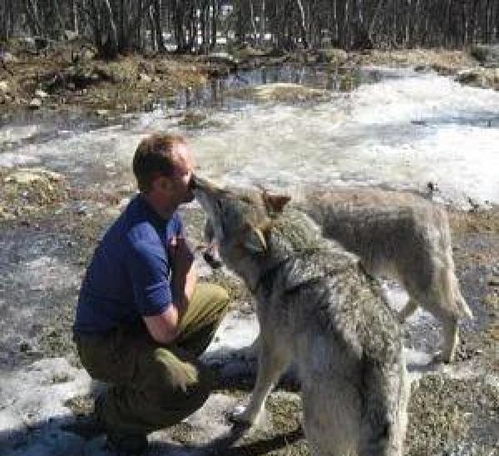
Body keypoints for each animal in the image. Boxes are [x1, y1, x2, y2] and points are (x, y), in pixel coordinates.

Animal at [192, 176, 410, 456]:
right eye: (225, 188)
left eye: (220, 203)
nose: (195, 181)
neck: (286, 252)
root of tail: (379, 366)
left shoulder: (276, 350)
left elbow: (261, 389)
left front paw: (246, 417)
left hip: (315, 421)